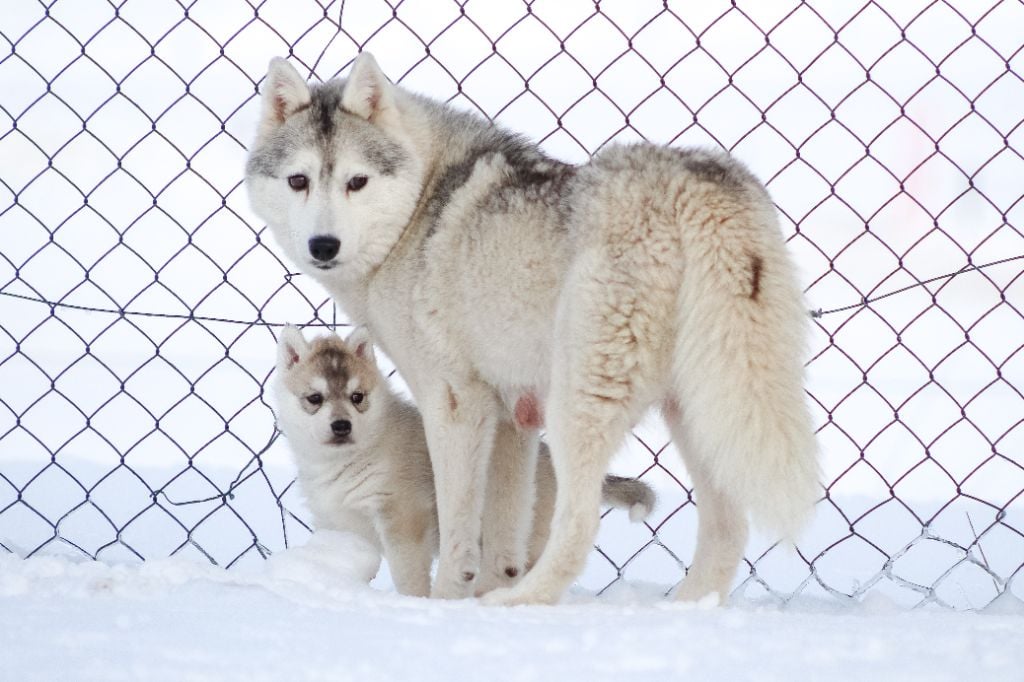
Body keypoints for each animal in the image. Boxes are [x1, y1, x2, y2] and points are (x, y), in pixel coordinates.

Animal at [243, 53, 819, 602]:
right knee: (727, 531)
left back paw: (523, 602)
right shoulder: (514, 419)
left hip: (580, 407)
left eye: (356, 182)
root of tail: (696, 184)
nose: (323, 246)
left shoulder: (454, 404)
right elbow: (502, 546)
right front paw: (480, 599)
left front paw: (444, 605)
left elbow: (459, 536)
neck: (418, 208)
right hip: (701, 410)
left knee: (581, 528)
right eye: (299, 181)